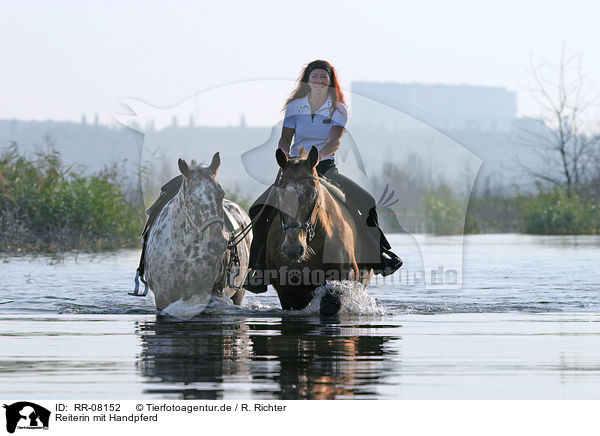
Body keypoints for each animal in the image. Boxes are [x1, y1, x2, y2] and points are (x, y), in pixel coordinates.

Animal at [266, 146, 372, 314]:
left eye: (312, 194)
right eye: (279, 194)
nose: (293, 248)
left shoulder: (345, 275)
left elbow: (331, 303)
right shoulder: (288, 292)